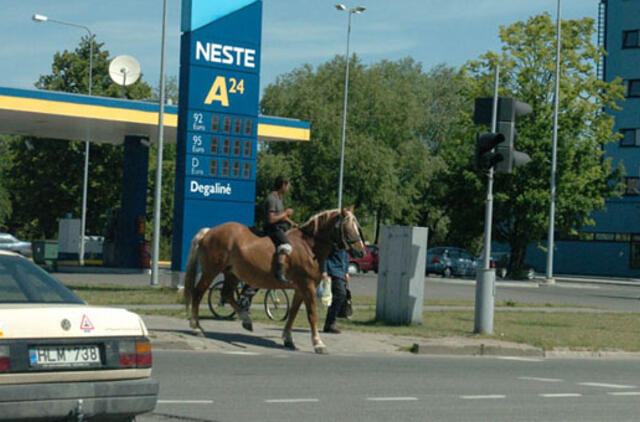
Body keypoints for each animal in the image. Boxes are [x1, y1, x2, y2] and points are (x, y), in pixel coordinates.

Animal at [182, 206, 368, 354]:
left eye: (357, 227)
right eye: (347, 227)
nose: (361, 252)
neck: (309, 245)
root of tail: (209, 231)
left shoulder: (300, 288)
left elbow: (293, 313)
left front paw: (288, 338)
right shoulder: (307, 286)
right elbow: (312, 315)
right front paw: (318, 344)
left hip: (232, 273)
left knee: (227, 294)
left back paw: (246, 320)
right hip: (211, 271)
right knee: (198, 293)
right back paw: (196, 327)